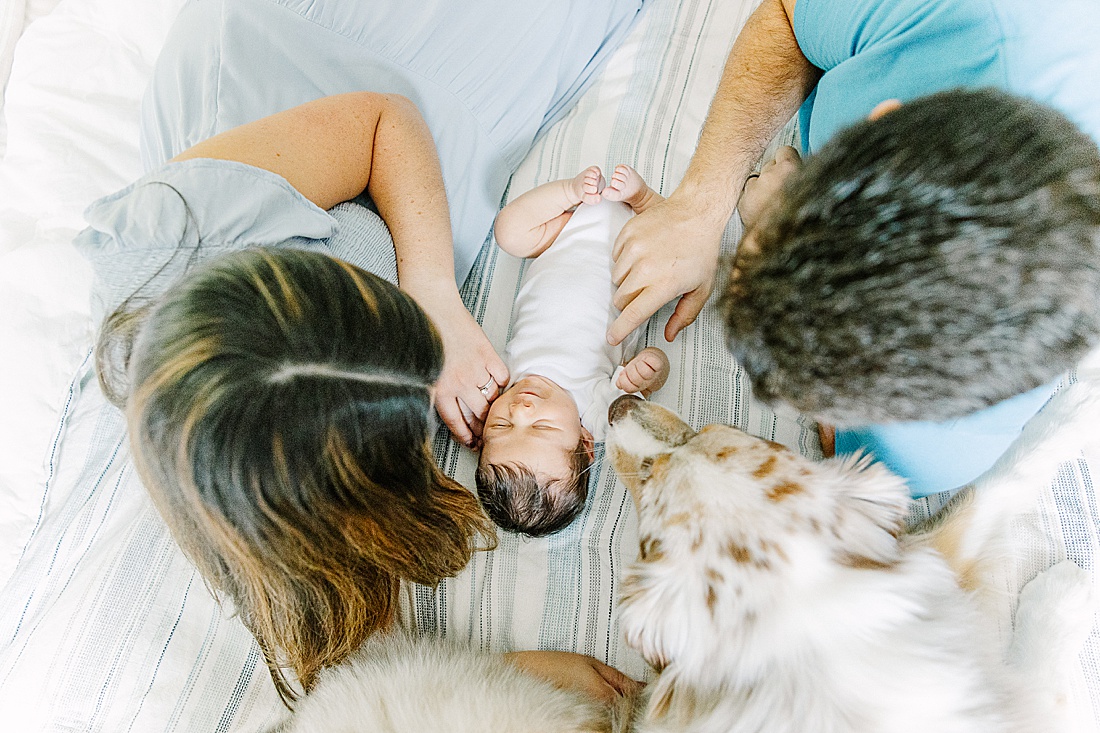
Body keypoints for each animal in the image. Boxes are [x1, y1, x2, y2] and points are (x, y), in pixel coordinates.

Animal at [607, 385, 1095, 726]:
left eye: (702, 433)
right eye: (646, 482)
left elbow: (1001, 478)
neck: (803, 627)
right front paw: (1064, 595)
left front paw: (1072, 407)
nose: (616, 406)